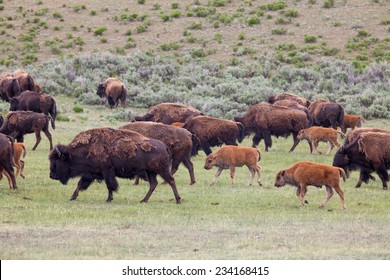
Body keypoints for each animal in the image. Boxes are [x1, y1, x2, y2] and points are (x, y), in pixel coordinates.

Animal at [48, 127, 181, 203]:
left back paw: (178, 200)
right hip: (150, 171)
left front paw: (108, 199)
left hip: (161, 170)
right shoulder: (91, 173)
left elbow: (109, 185)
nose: (51, 175)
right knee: (154, 184)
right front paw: (72, 197)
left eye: (57, 161)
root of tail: (164, 146)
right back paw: (143, 200)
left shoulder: (106, 171)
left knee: (171, 180)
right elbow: (81, 184)